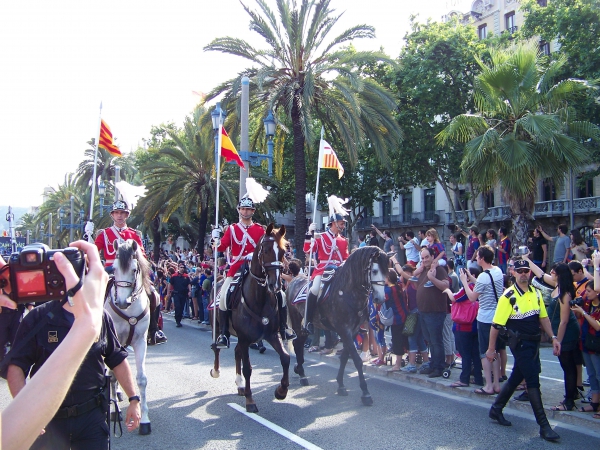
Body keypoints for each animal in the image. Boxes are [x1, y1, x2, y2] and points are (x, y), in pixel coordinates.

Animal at [210, 223, 290, 414]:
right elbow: (248, 369)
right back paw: (216, 371)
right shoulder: (246, 338)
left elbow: (285, 358)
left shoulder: (271, 335)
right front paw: (250, 400)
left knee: (236, 351)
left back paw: (239, 385)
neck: (259, 298)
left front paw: (281, 391)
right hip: (217, 327)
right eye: (266, 250)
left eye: (283, 252)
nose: (275, 285)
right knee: (217, 347)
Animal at [288, 248, 390, 406]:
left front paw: (341, 385)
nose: (380, 298)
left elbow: (344, 357)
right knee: (297, 343)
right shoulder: (344, 330)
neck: (348, 293)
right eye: (374, 271)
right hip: (296, 320)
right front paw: (365, 393)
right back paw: (302, 375)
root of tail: (295, 279)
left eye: (386, 272)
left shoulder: (352, 331)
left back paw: (300, 371)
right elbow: (357, 361)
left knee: (298, 343)